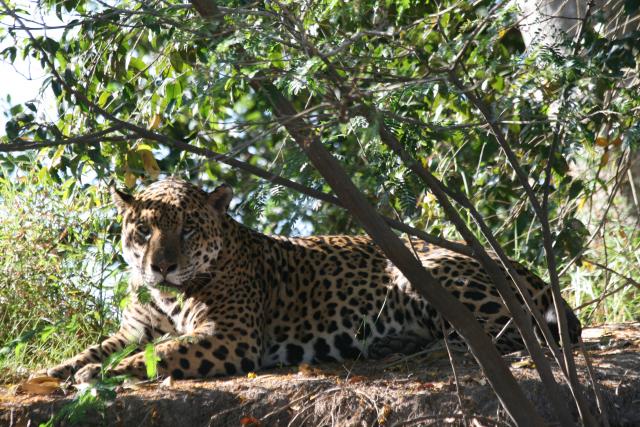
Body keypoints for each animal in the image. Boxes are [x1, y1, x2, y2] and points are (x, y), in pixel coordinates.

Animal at [41, 178, 581, 383]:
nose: (161, 266)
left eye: (188, 229)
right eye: (144, 230)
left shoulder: (229, 336)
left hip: (429, 269)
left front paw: (96, 376)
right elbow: (94, 349)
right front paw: (54, 372)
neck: (167, 295)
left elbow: (162, 353)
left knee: (509, 333)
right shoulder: (135, 327)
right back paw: (388, 344)